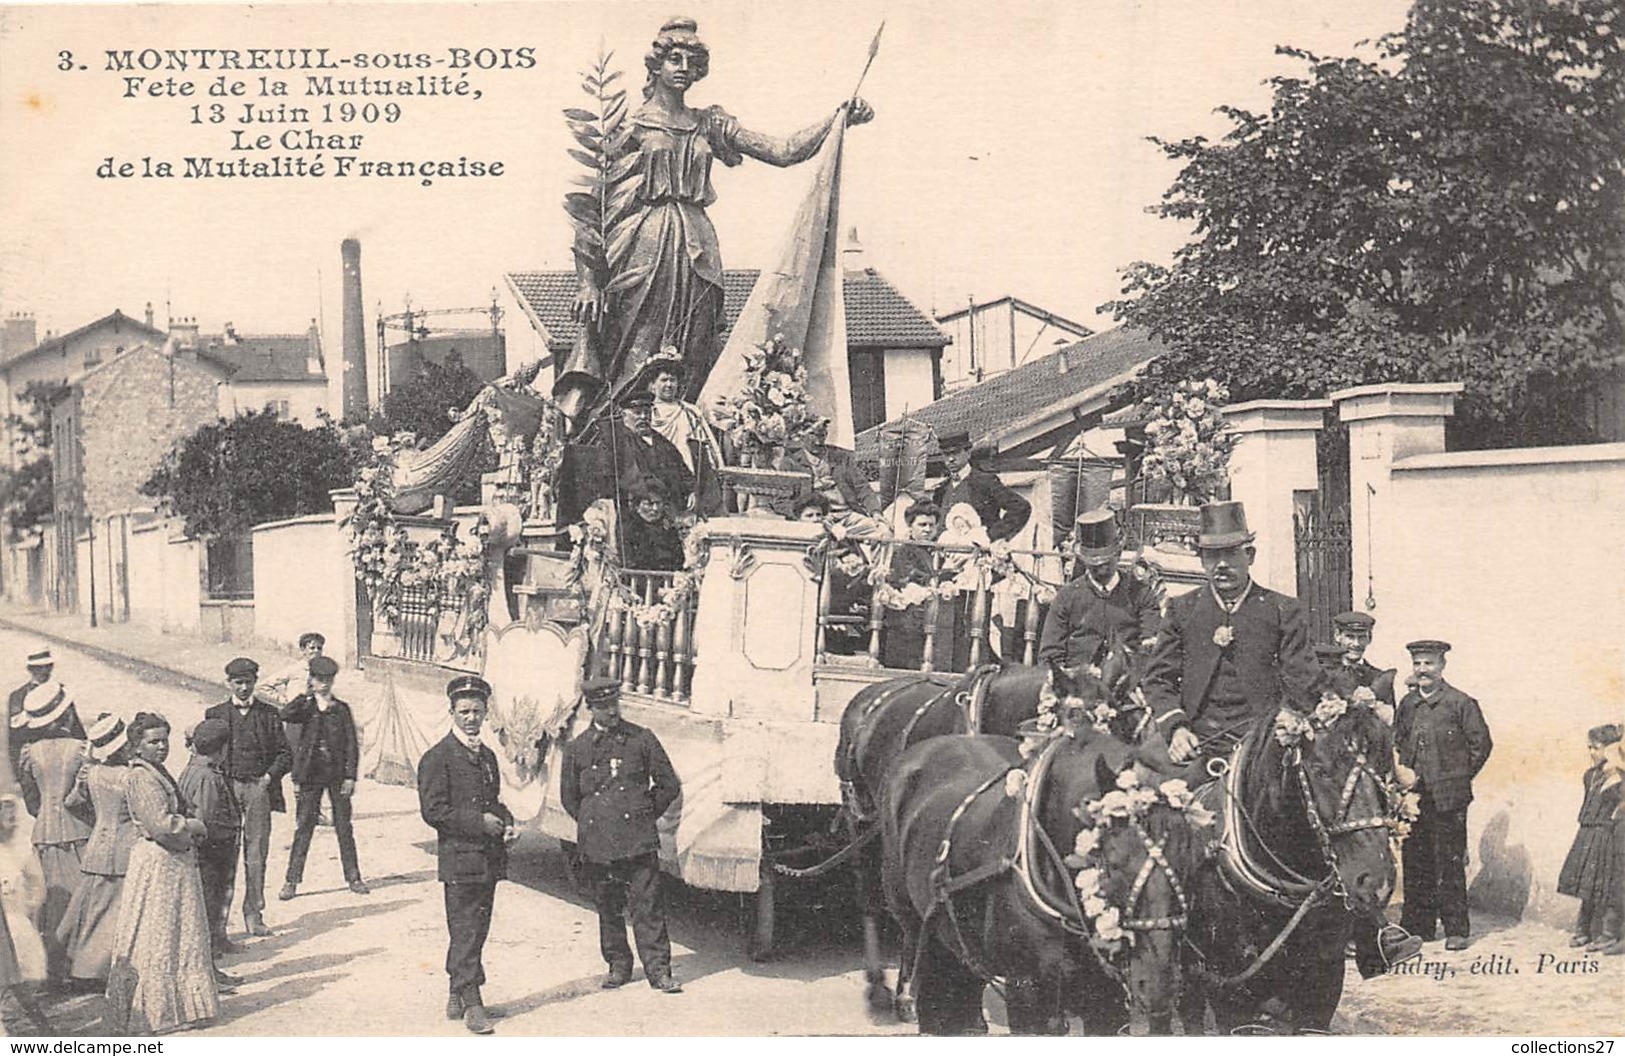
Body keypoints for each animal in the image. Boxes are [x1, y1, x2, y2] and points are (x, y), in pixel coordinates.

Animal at [877, 718, 1209, 1033]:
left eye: (1193, 861)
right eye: (1112, 862)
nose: (1159, 983)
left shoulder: (1105, 1001)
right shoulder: (1027, 993)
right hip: (918, 929)